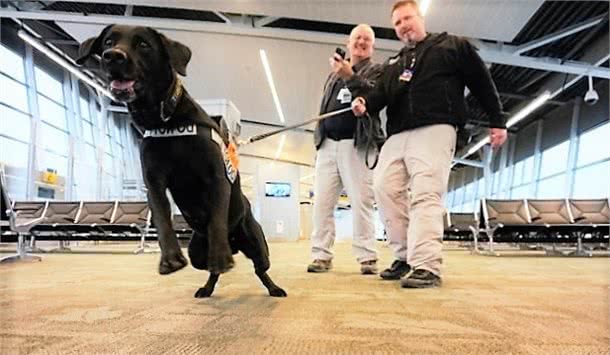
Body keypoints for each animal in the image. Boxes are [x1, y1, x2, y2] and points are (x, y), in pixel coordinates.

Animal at [76, 23, 284, 298]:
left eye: (143, 44)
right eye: (109, 42)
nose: (113, 56)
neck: (165, 119)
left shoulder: (216, 178)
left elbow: (217, 218)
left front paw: (220, 256)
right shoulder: (154, 183)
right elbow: (162, 218)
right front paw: (170, 259)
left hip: (258, 245)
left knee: (261, 268)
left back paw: (271, 286)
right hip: (196, 251)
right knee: (210, 270)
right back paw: (207, 287)